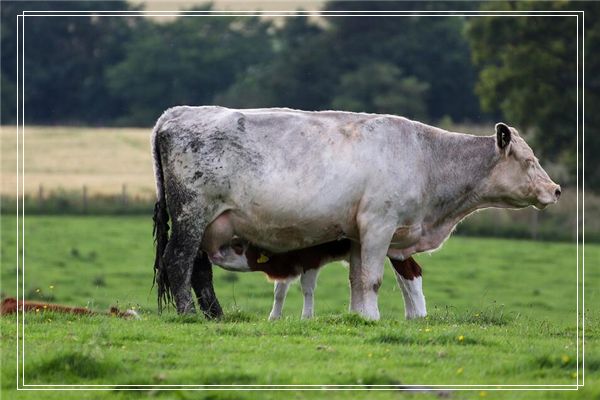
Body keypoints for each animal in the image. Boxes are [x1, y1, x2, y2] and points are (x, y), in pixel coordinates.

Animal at [151, 104, 564, 320]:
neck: (428, 158)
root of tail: (177, 113)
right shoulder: (380, 224)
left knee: (200, 269)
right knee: (178, 261)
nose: (556, 190)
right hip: (192, 214)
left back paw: (216, 316)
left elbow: (356, 279)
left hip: (211, 224)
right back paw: (189, 314)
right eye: (529, 160)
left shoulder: (355, 233)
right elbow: (373, 279)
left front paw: (358, 317)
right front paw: (372, 318)